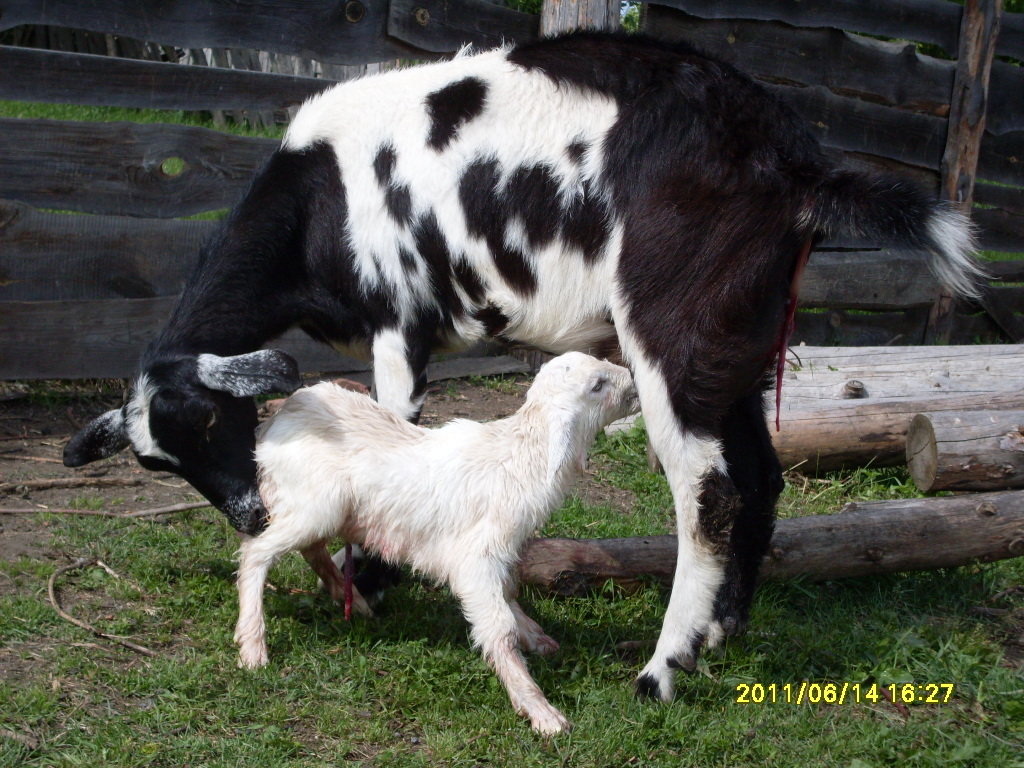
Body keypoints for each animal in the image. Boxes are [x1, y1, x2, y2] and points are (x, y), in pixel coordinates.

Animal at [64, 33, 983, 700]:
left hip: (673, 325)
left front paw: (372, 585)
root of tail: (797, 163)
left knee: (707, 492)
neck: (321, 195)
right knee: (760, 474)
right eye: (158, 462)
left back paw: (662, 669)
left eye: (212, 417)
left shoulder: (400, 326)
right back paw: (725, 633)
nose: (250, 514)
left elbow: (395, 433)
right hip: (740, 340)